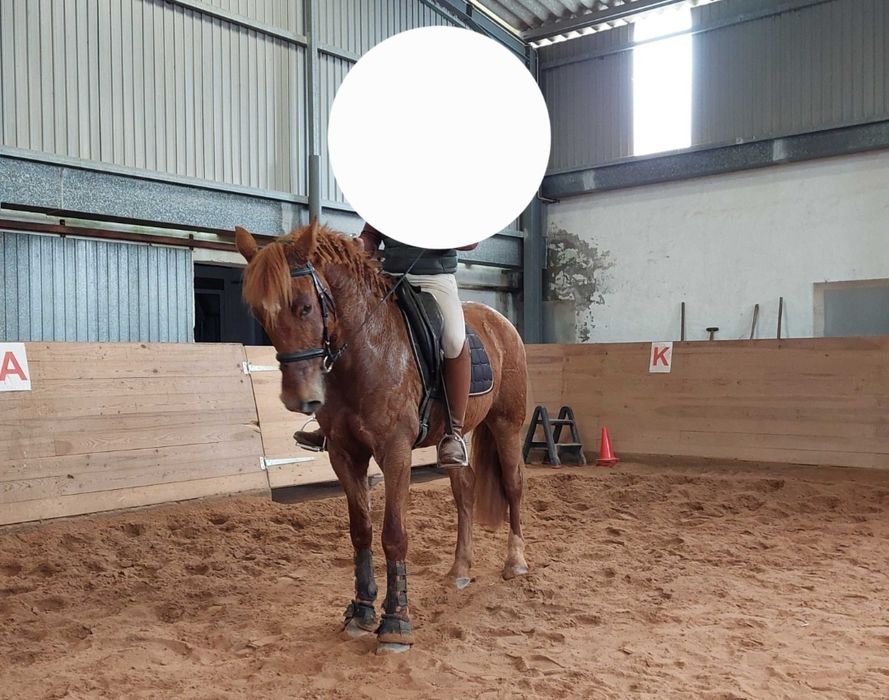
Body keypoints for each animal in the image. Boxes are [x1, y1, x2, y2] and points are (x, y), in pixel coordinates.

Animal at [234, 220, 528, 654]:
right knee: (465, 489)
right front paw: (361, 611)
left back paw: (516, 562)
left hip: (507, 424)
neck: (364, 352)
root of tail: (499, 320)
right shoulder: (344, 454)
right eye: (260, 314)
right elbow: (361, 531)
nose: (299, 399)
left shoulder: (394, 453)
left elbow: (394, 534)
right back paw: (459, 568)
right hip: (453, 440)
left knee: (512, 486)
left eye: (304, 307)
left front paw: (395, 623)